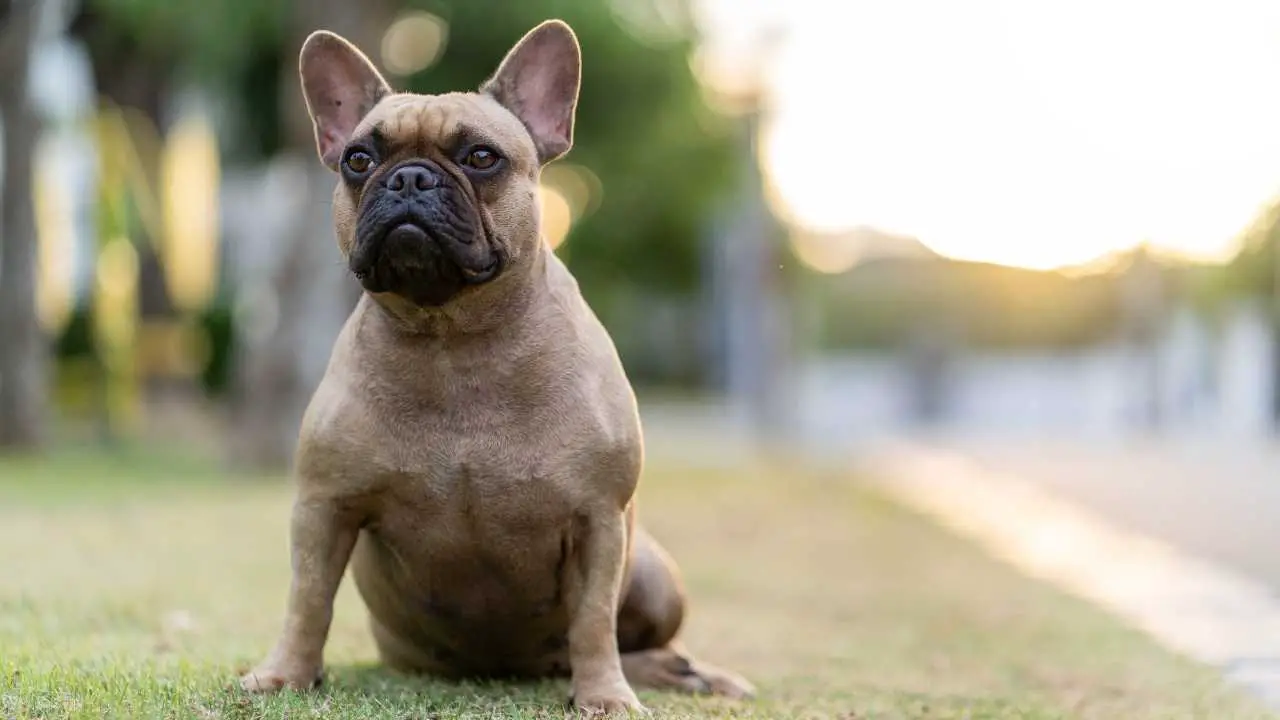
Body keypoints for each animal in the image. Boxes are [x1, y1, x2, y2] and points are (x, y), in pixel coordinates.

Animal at [239, 18, 752, 712]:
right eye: (358, 160)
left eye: (482, 158)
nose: (409, 179)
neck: (455, 339)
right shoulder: (325, 508)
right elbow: (309, 599)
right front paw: (285, 674)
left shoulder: (599, 520)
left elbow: (594, 620)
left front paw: (605, 695)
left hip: (653, 574)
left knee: (640, 642)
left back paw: (692, 674)